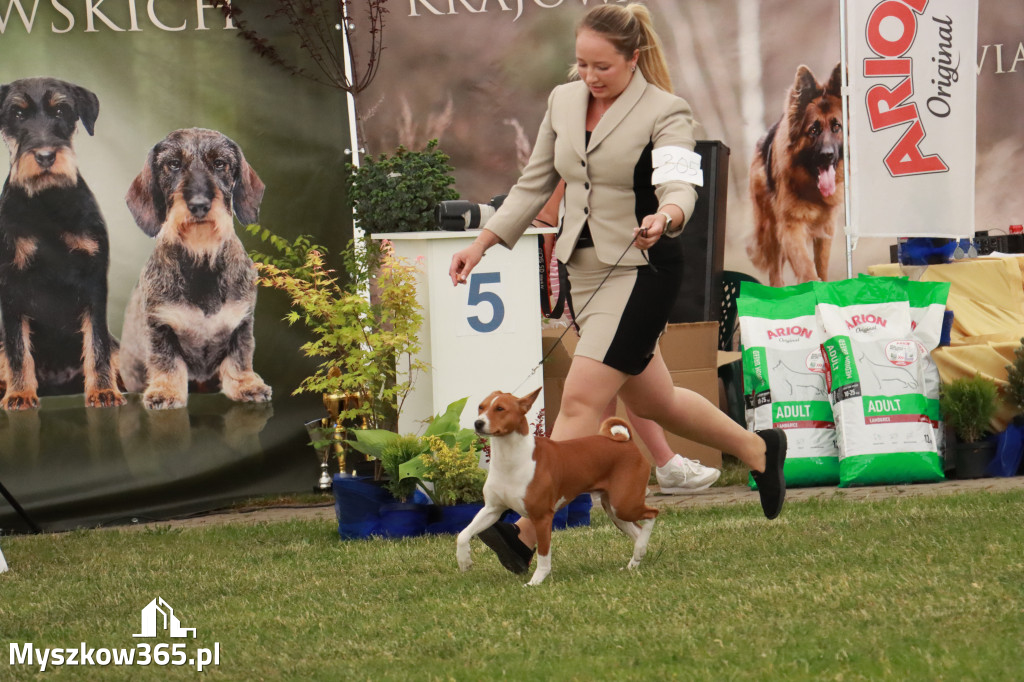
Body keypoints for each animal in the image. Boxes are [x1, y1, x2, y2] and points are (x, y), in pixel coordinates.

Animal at [454, 387, 655, 585]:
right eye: (481, 407)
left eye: (500, 409)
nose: (478, 423)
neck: (511, 460)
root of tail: (628, 442)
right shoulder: (492, 509)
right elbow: (463, 534)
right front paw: (464, 561)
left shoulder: (542, 517)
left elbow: (543, 555)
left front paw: (536, 581)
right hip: (614, 509)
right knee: (637, 532)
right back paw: (634, 562)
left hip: (624, 504)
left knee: (652, 515)